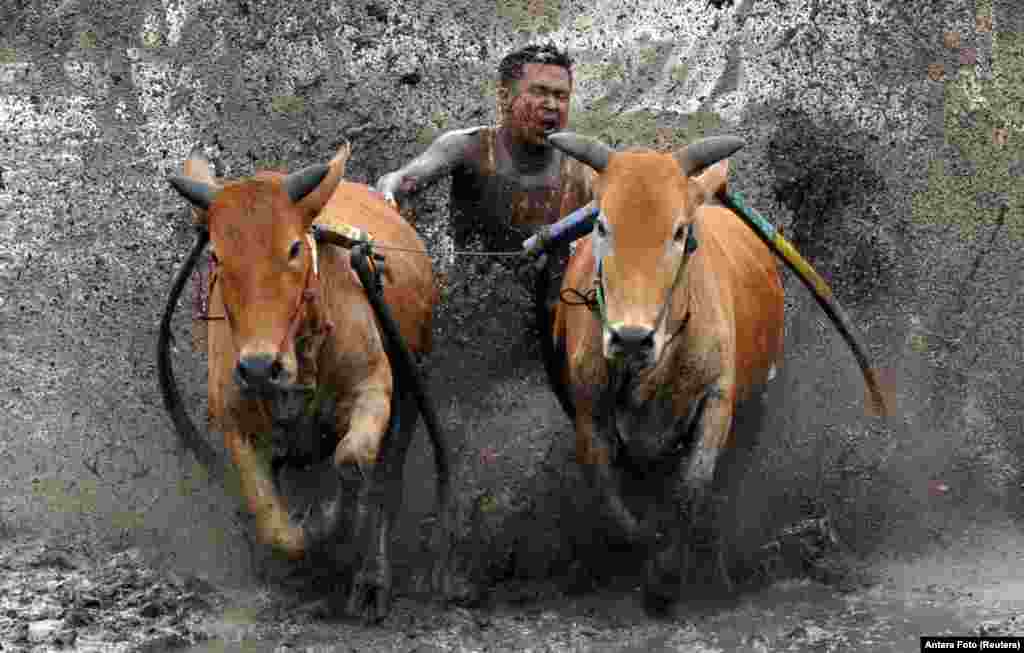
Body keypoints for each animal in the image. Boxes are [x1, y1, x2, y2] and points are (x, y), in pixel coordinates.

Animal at [162, 144, 448, 622]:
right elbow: (272, 521)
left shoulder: (372, 387)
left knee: (387, 480)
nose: (260, 367)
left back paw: (371, 580)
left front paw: (331, 517)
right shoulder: (236, 421)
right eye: (217, 255)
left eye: (294, 247)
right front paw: (306, 535)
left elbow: (352, 461)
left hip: (410, 386)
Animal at [548, 132, 892, 614]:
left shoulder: (716, 400)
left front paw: (666, 577)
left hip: (755, 403)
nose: (631, 338)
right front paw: (647, 547)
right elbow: (612, 500)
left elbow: (691, 489)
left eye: (679, 231)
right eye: (601, 226)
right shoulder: (588, 409)